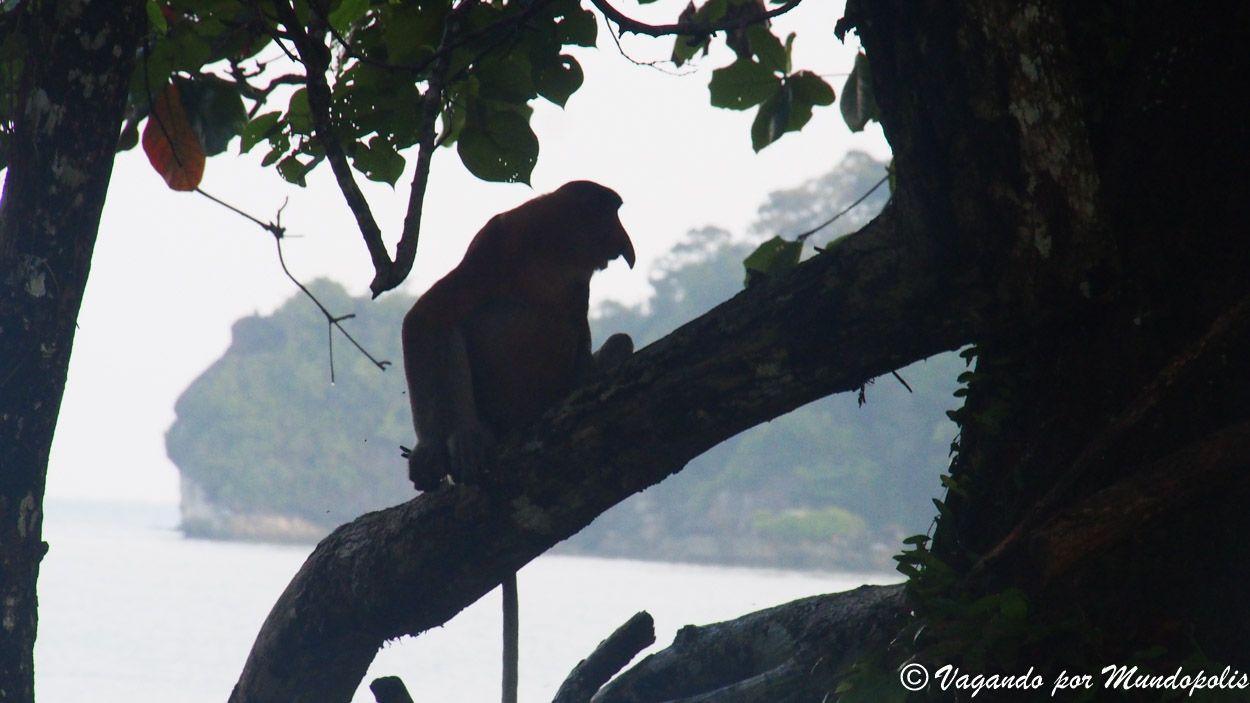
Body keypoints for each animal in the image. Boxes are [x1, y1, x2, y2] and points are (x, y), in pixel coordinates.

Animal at [401, 180, 635, 703]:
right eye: (612, 211)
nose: (627, 246)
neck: (552, 246)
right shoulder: (496, 243)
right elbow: (428, 317)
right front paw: (436, 451)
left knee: (613, 347)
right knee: (468, 320)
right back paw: (466, 442)